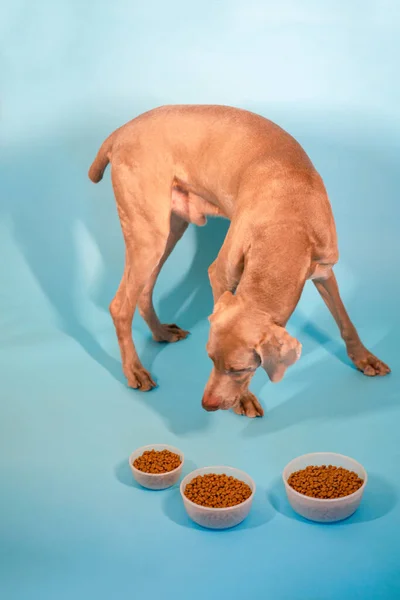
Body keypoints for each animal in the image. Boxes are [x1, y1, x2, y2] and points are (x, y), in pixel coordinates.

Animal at [88, 105, 390, 418]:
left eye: (240, 369)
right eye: (210, 359)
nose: (207, 405)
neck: (289, 220)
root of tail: (119, 132)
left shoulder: (323, 271)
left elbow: (345, 320)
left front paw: (364, 358)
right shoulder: (220, 273)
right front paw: (244, 400)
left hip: (170, 228)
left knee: (144, 290)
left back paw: (160, 333)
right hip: (148, 234)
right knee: (120, 306)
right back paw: (135, 371)